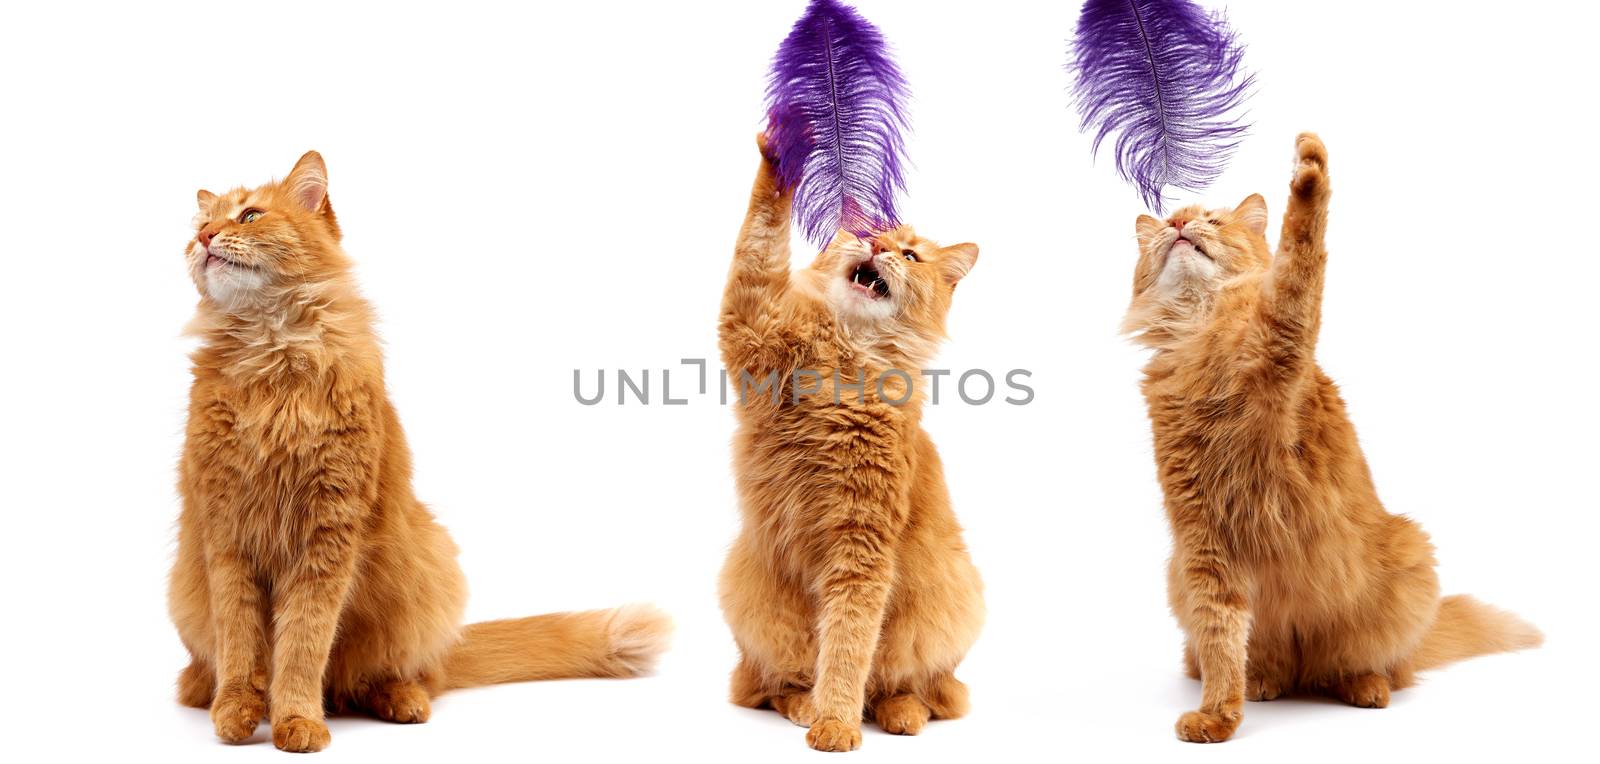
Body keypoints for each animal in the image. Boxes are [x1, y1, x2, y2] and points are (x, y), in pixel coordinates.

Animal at [162, 151, 662, 751]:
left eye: (250, 216)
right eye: (199, 225)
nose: (205, 237)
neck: (271, 357)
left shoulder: (327, 533)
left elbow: (303, 643)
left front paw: (297, 719)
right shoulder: (227, 533)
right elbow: (240, 641)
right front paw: (239, 709)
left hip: (425, 567)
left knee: (403, 675)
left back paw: (401, 699)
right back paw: (204, 690)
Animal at [1120, 134, 1542, 741]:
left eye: (1211, 221)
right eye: (1169, 225)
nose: (1178, 223)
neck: (1200, 332)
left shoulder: (1284, 334)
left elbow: (1300, 250)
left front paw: (1309, 169)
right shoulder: (1203, 542)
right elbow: (1220, 637)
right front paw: (1220, 713)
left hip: (1408, 563)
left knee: (1373, 664)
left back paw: (1365, 687)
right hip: (1178, 575)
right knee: (1242, 658)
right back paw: (1264, 680)